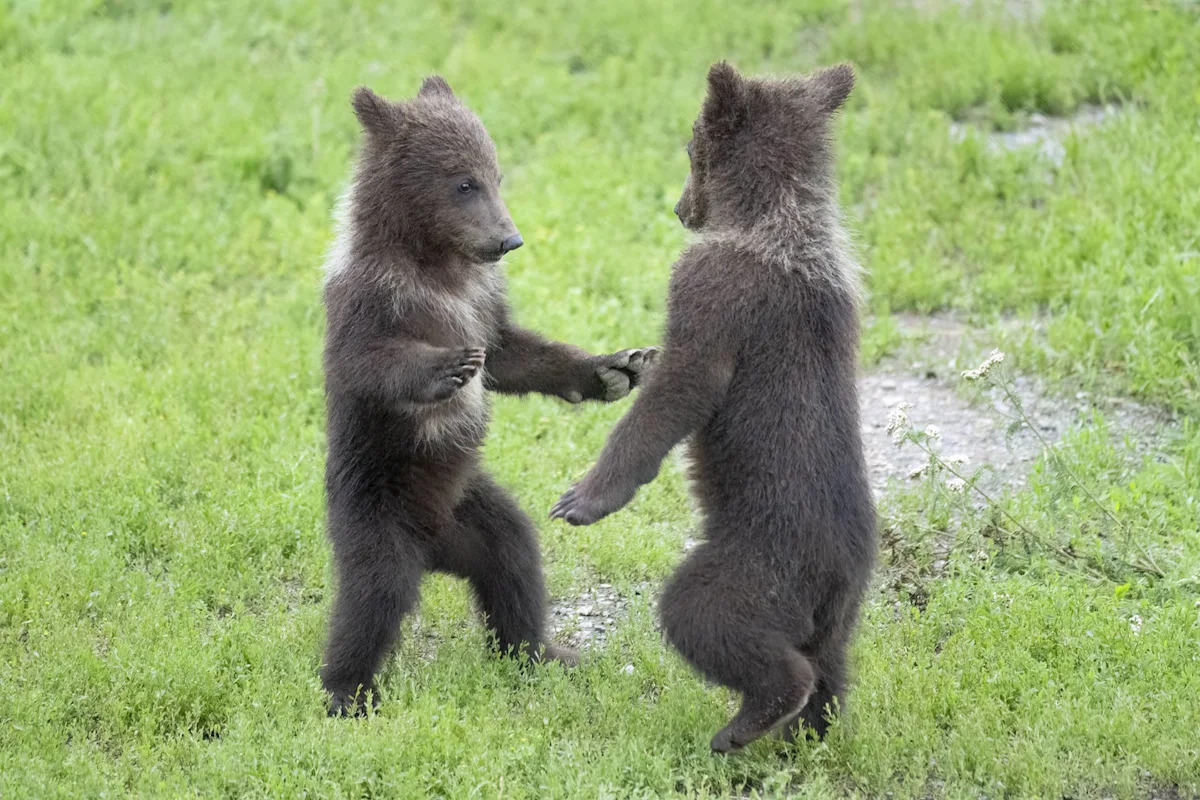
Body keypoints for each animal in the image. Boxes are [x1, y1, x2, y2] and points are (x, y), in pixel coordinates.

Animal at [321, 75, 656, 716]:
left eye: (494, 175)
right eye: (463, 182)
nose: (509, 239)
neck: (438, 263)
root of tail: (433, 551)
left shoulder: (481, 299)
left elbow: (509, 353)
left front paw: (614, 369)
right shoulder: (372, 295)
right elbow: (366, 362)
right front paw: (447, 366)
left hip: (472, 509)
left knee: (514, 559)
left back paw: (542, 651)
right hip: (375, 506)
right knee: (372, 595)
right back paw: (345, 690)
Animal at [551, 62, 876, 752]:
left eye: (689, 150)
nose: (680, 209)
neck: (775, 218)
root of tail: (836, 576)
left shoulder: (713, 290)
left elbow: (684, 384)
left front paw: (582, 497)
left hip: (758, 565)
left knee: (702, 613)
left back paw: (750, 719)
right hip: (839, 608)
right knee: (832, 665)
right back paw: (804, 732)